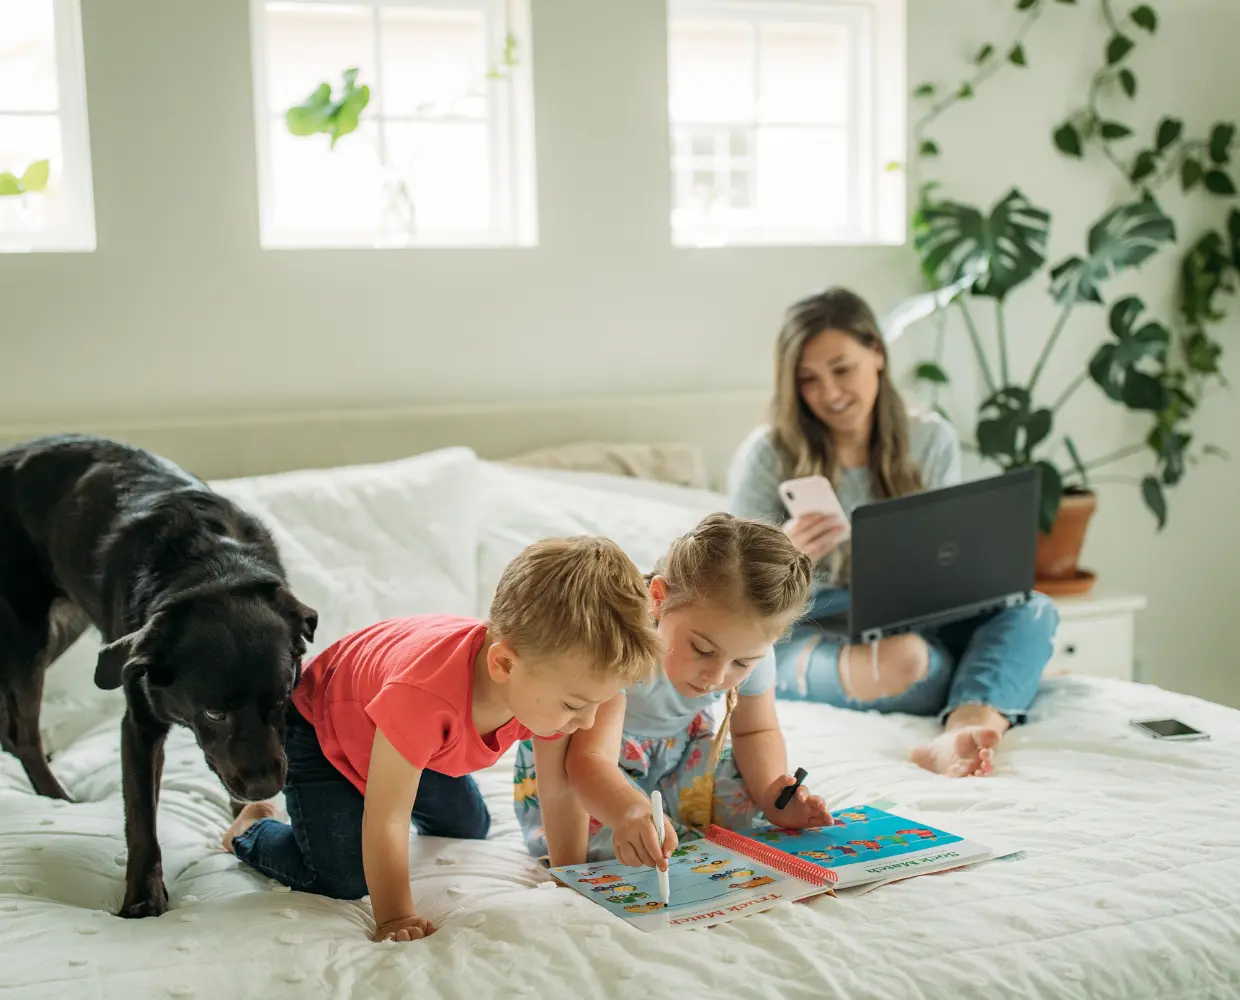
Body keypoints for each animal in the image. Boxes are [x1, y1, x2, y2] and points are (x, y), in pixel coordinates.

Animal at [1, 434, 319, 918]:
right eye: (214, 714)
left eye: (283, 700)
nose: (267, 787)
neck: (214, 569)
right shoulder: (139, 725)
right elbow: (141, 823)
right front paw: (142, 899)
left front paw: (243, 823)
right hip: (28, 636)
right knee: (24, 734)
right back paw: (57, 797)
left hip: (63, 623)